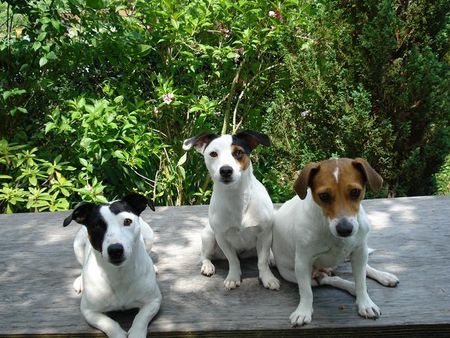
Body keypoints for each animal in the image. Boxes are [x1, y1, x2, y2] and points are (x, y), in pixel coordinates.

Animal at [62, 193, 162, 338]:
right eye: (97, 226)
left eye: (127, 221)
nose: (115, 250)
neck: (118, 274)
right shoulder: (89, 311)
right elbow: (108, 323)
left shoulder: (153, 301)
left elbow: (140, 318)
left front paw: (136, 333)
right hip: (78, 245)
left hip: (149, 236)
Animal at [182, 131, 280, 290]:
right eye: (213, 154)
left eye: (238, 152)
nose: (226, 170)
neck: (236, 196)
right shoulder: (222, 237)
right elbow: (233, 260)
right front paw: (233, 277)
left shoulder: (264, 234)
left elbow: (262, 261)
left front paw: (267, 277)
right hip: (209, 236)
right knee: (204, 256)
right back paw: (207, 266)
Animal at [272, 160, 400, 326]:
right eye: (324, 196)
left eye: (355, 192)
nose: (345, 229)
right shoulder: (302, 261)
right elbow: (306, 291)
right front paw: (303, 311)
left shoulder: (359, 251)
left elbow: (361, 282)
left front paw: (365, 303)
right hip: (294, 274)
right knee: (330, 279)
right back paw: (350, 286)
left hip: (357, 256)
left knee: (364, 269)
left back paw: (383, 276)